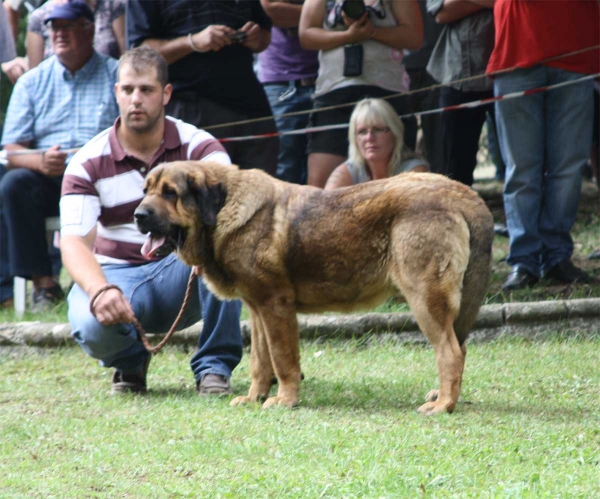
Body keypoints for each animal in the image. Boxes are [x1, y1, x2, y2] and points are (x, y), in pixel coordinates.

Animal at [136, 162, 492, 416]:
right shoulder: (257, 310)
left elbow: (283, 360)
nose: (138, 214)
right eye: (146, 190)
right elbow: (260, 362)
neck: (224, 210)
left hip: (424, 299)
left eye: (170, 193)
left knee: (451, 352)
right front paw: (255, 397)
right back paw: (442, 395)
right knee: (458, 348)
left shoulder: (276, 306)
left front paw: (285, 400)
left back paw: (443, 405)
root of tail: (461, 192)